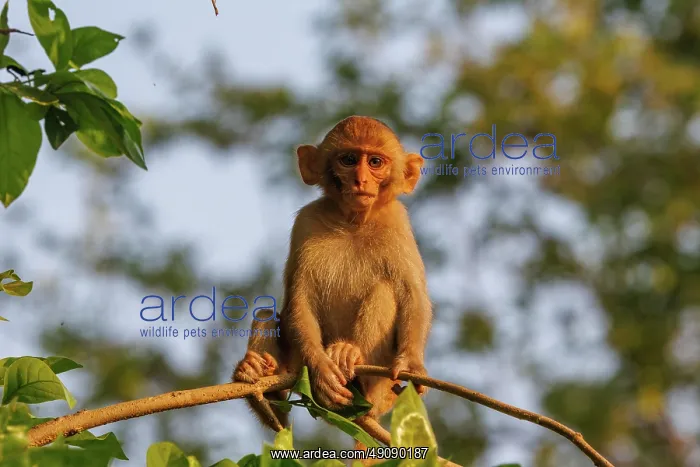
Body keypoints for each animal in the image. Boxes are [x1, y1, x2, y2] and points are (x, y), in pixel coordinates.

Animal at [232, 115, 432, 451]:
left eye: (375, 162)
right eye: (349, 160)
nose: (361, 180)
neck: (353, 223)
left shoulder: (397, 223)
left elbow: (412, 295)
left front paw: (411, 364)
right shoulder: (306, 221)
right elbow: (299, 299)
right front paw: (321, 368)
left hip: (383, 389)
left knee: (385, 293)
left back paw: (350, 358)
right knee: (266, 314)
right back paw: (264, 389)